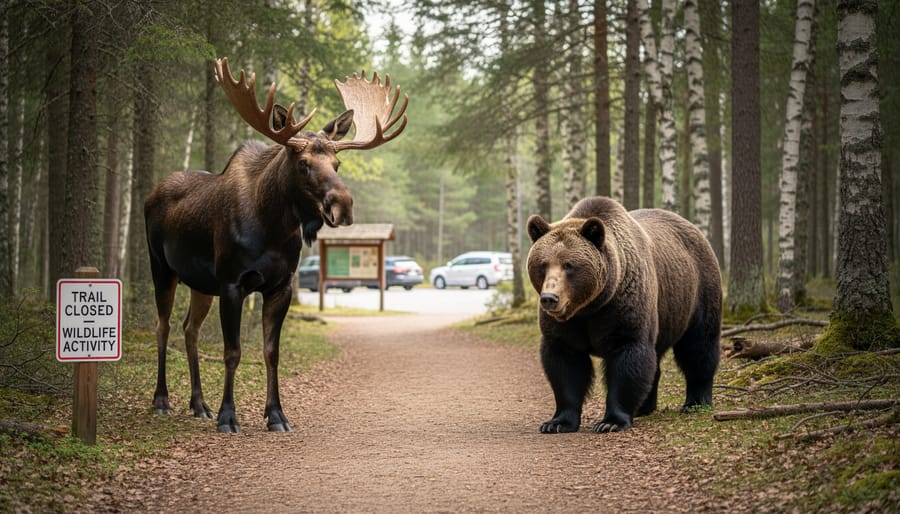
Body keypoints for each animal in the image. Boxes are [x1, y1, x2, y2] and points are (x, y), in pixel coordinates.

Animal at [144, 58, 408, 432]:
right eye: (303, 163)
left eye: (337, 163)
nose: (343, 206)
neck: (272, 228)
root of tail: (151, 193)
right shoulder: (232, 282)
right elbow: (233, 352)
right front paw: (228, 417)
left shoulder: (280, 285)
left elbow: (272, 352)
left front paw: (276, 415)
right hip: (161, 267)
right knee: (162, 326)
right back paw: (163, 400)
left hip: (200, 283)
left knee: (189, 329)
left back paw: (199, 404)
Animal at [525, 196, 722, 433]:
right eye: (543, 264)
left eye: (569, 265)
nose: (550, 298)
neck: (591, 306)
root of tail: (695, 229)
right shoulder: (567, 324)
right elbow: (565, 363)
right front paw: (557, 422)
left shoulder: (622, 309)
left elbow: (629, 357)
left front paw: (610, 422)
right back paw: (644, 407)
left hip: (696, 292)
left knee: (698, 346)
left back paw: (696, 402)